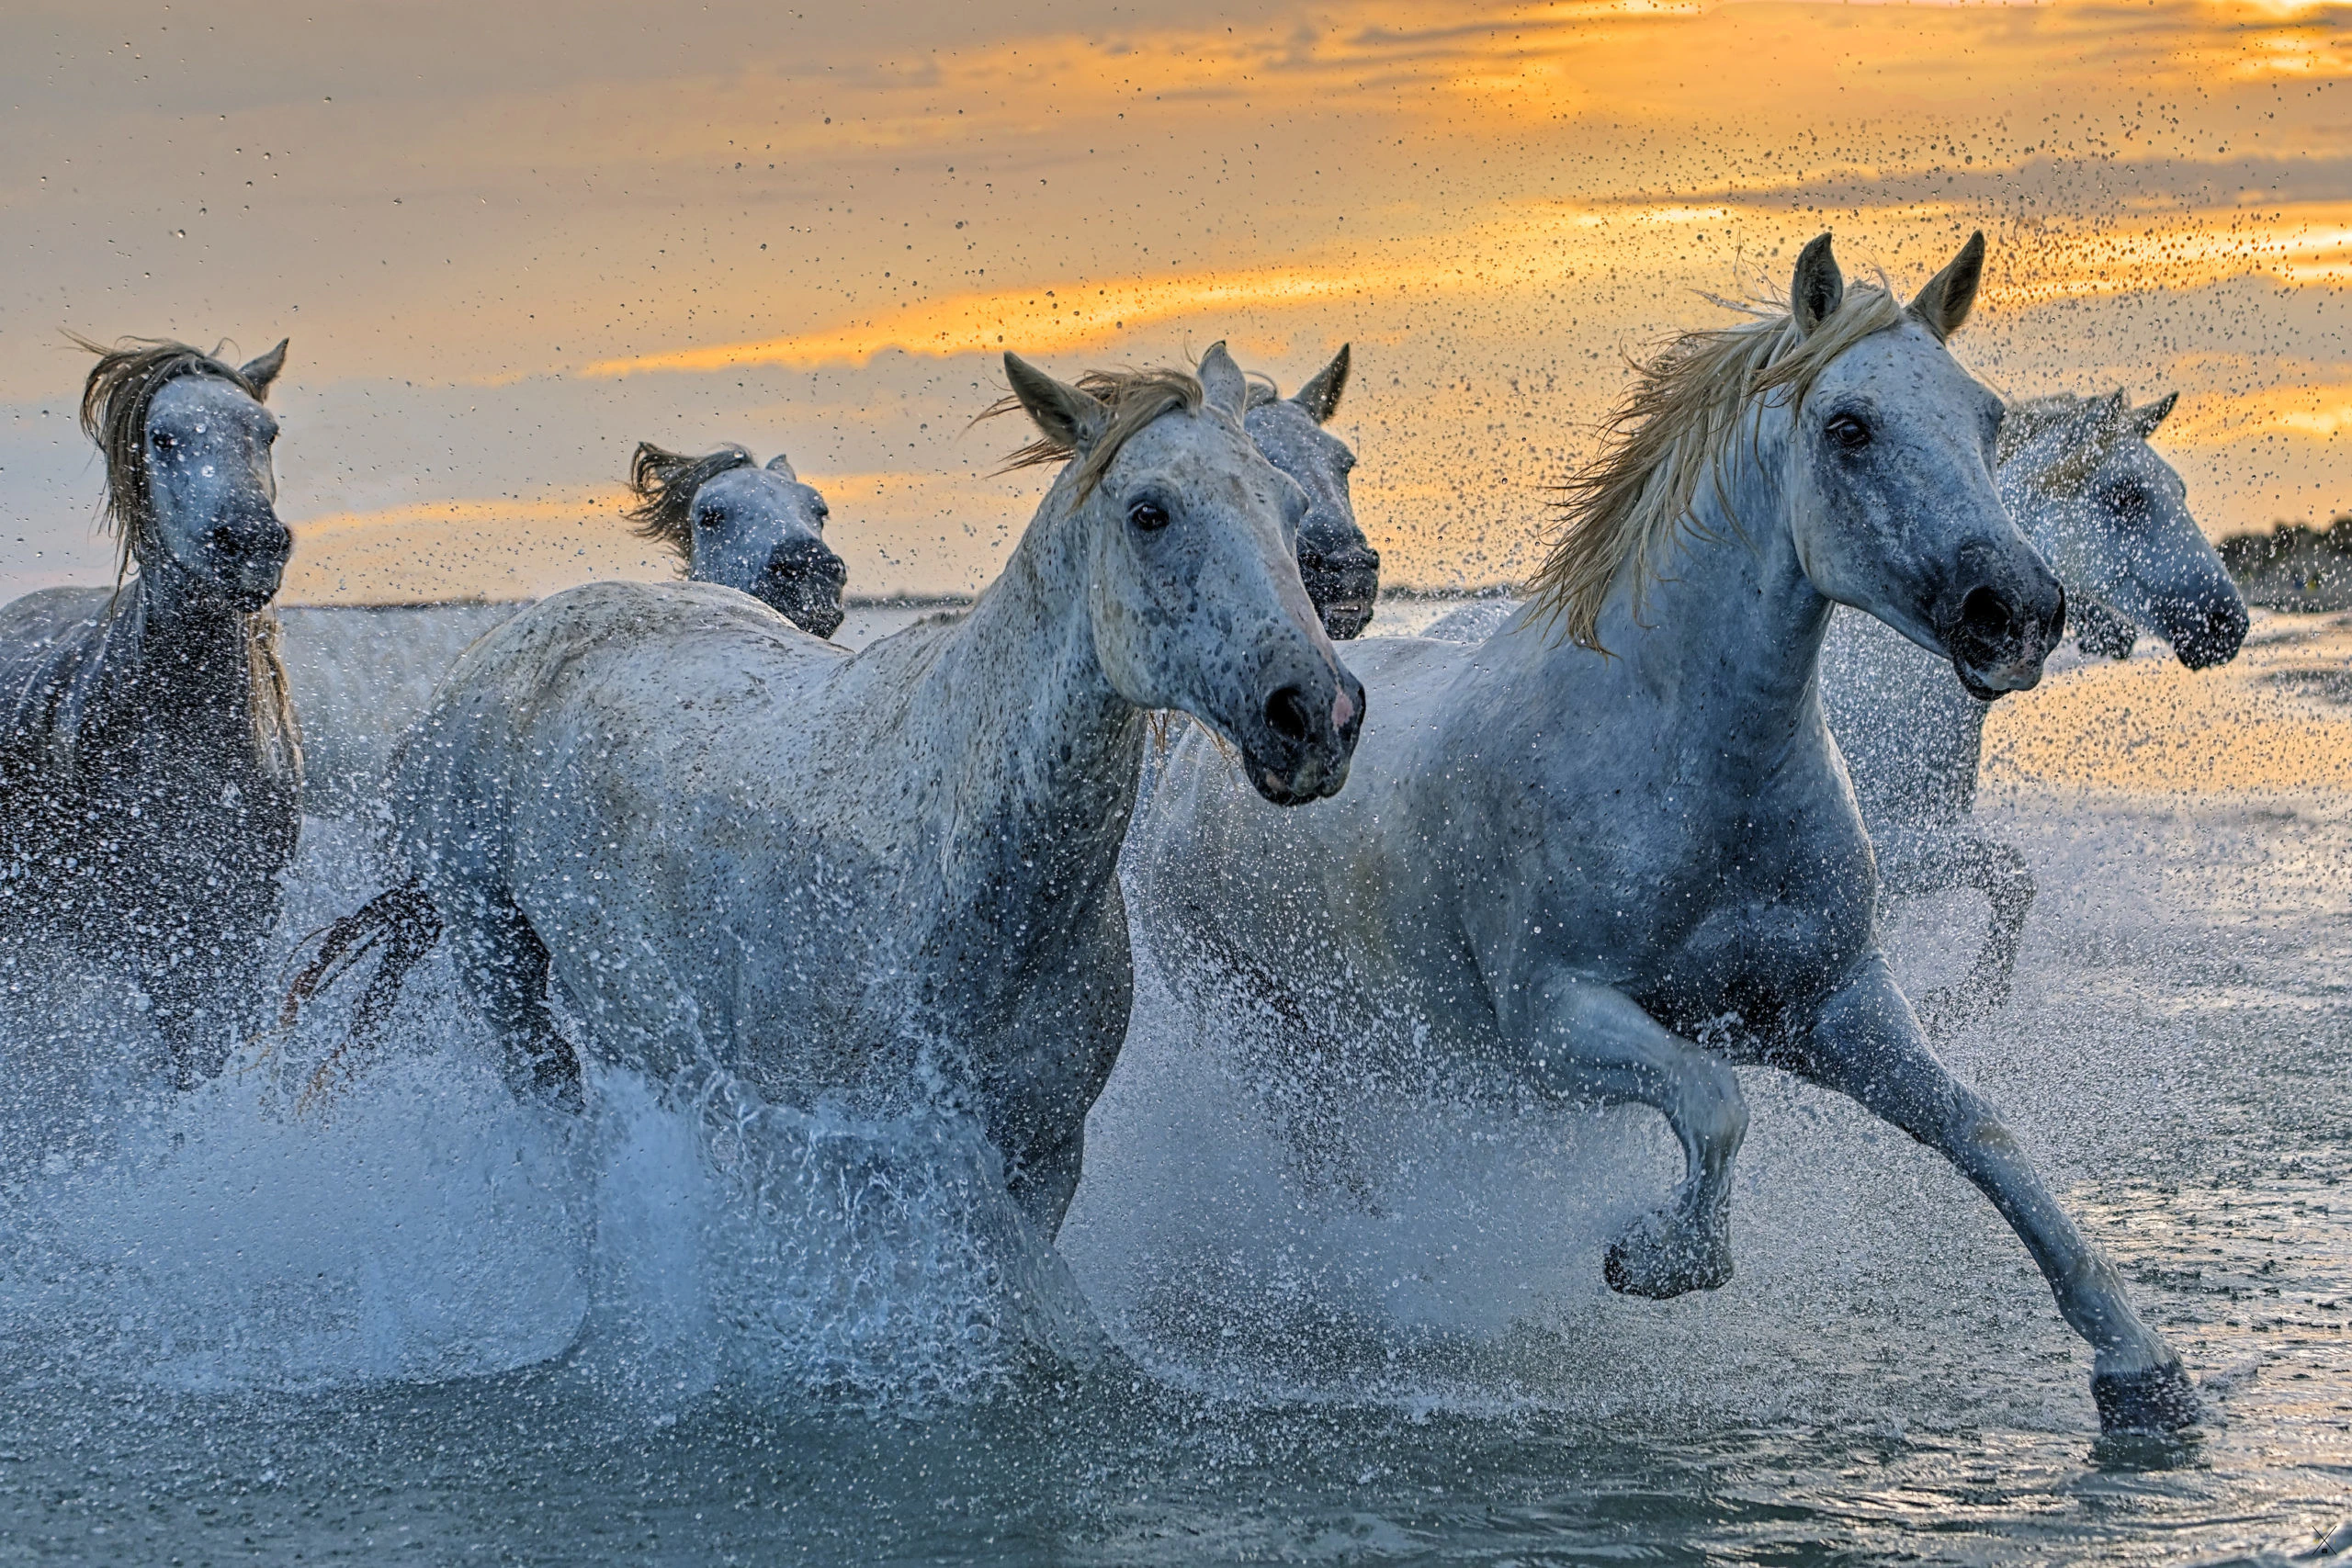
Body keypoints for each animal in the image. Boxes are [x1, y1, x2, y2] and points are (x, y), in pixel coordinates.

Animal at [1431, 389, 2250, 1026]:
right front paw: (1968, 1000)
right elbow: (2009, 872)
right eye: (2126, 497)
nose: (2226, 623)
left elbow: (2007, 882)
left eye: (2176, 490)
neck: (1901, 683)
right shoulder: (1890, 851)